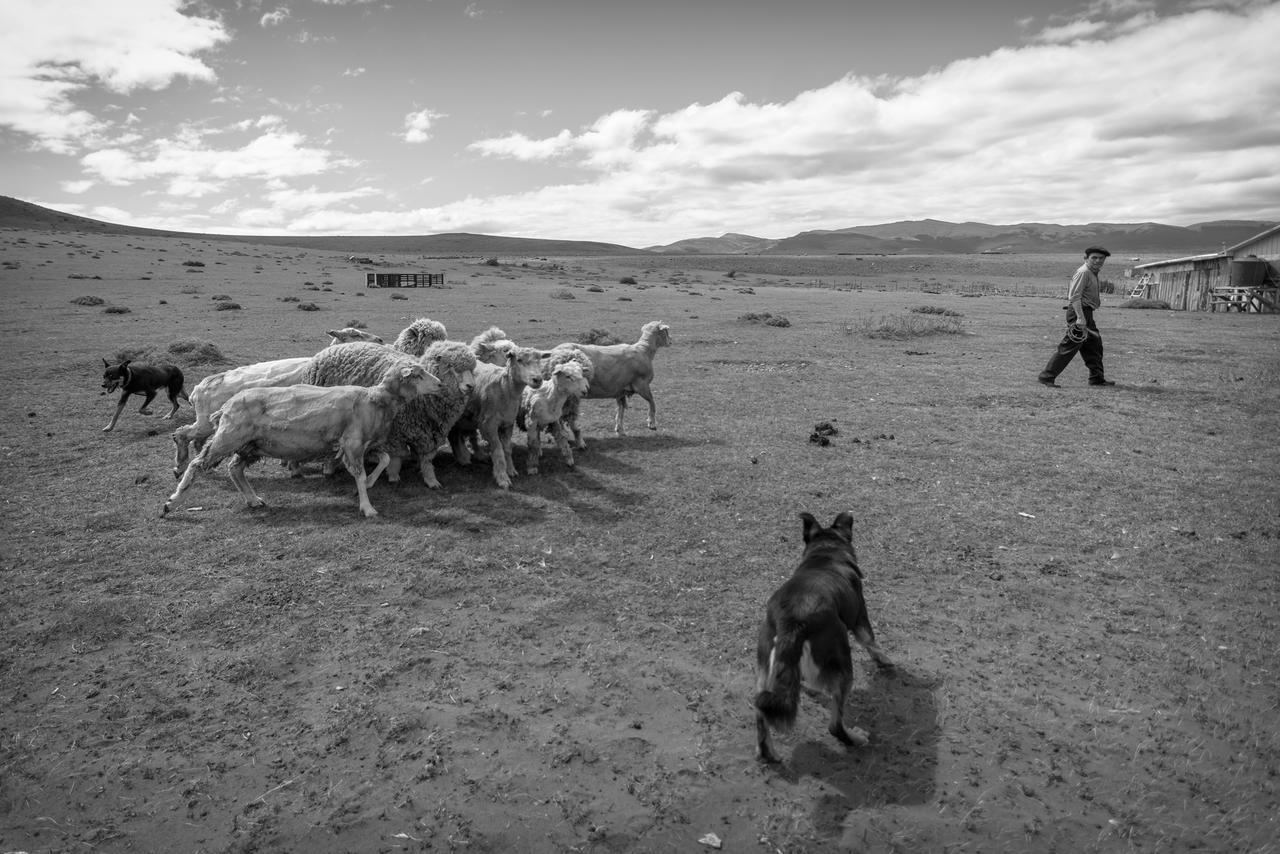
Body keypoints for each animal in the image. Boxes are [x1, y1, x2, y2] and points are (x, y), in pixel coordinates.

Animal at [161, 363, 440, 517]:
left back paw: (253, 500)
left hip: (251, 444)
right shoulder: (352, 443)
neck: (374, 400)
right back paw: (172, 501)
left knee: (235, 469)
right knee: (198, 464)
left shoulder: (363, 443)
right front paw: (367, 508)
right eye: (418, 374)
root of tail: (226, 406)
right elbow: (360, 475)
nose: (439, 384)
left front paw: (371, 483)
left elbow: (383, 460)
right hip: (229, 437)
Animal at [304, 338, 481, 486]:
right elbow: (395, 457)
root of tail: (330, 349)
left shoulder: (429, 435)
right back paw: (329, 468)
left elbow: (426, 460)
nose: (471, 386)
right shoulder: (394, 432)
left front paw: (431, 480)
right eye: (451, 367)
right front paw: (393, 476)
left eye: (472, 369)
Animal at [752, 512, 896, 763]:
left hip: (766, 666)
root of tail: (793, 620)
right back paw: (855, 738)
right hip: (842, 661)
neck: (826, 552)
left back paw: (768, 753)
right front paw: (884, 660)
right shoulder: (860, 615)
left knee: (761, 711)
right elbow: (869, 640)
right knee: (835, 725)